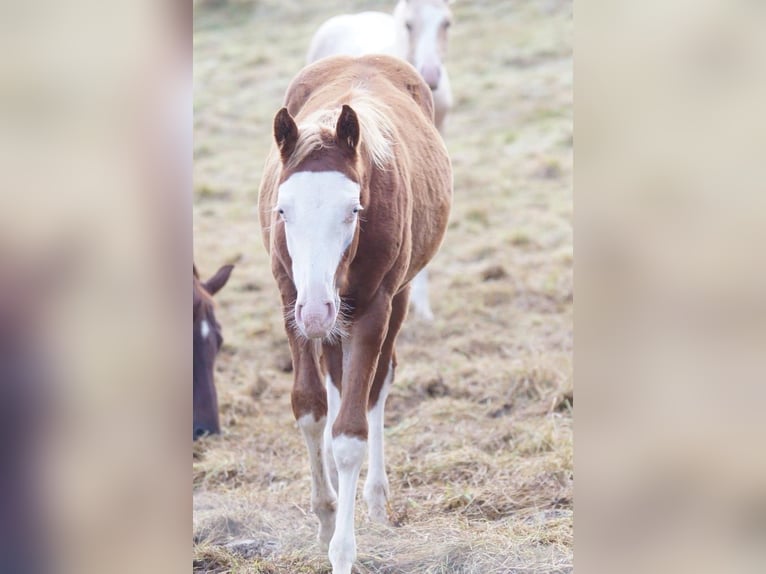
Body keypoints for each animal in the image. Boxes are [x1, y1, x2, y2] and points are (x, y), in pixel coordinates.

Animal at [260, 55, 450, 574]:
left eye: (353, 209)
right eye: (282, 210)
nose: (317, 309)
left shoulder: (371, 310)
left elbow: (351, 431)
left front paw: (342, 551)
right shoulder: (290, 299)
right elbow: (309, 408)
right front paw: (325, 515)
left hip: (391, 300)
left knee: (377, 385)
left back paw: (377, 498)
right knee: (334, 379)